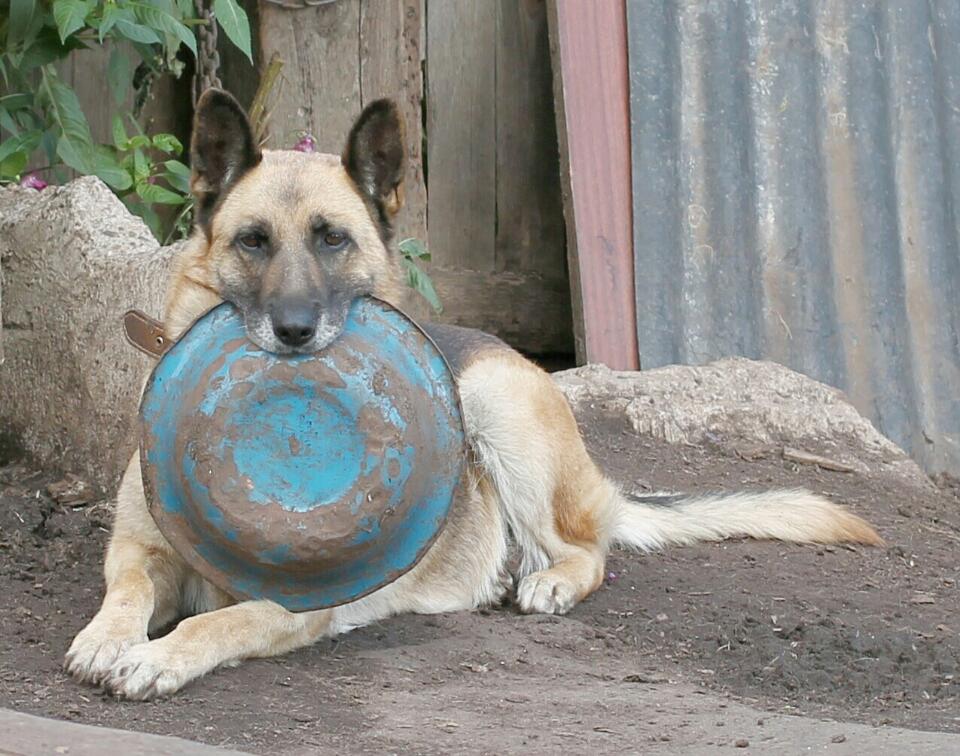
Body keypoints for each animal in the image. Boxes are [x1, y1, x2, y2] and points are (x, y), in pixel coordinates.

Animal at [62, 91, 884, 700]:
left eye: (331, 239)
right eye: (253, 241)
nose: (294, 332)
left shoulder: (291, 607)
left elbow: (214, 625)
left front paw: (156, 658)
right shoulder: (139, 550)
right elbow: (126, 589)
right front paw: (107, 638)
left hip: (494, 404)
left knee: (588, 549)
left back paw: (551, 582)